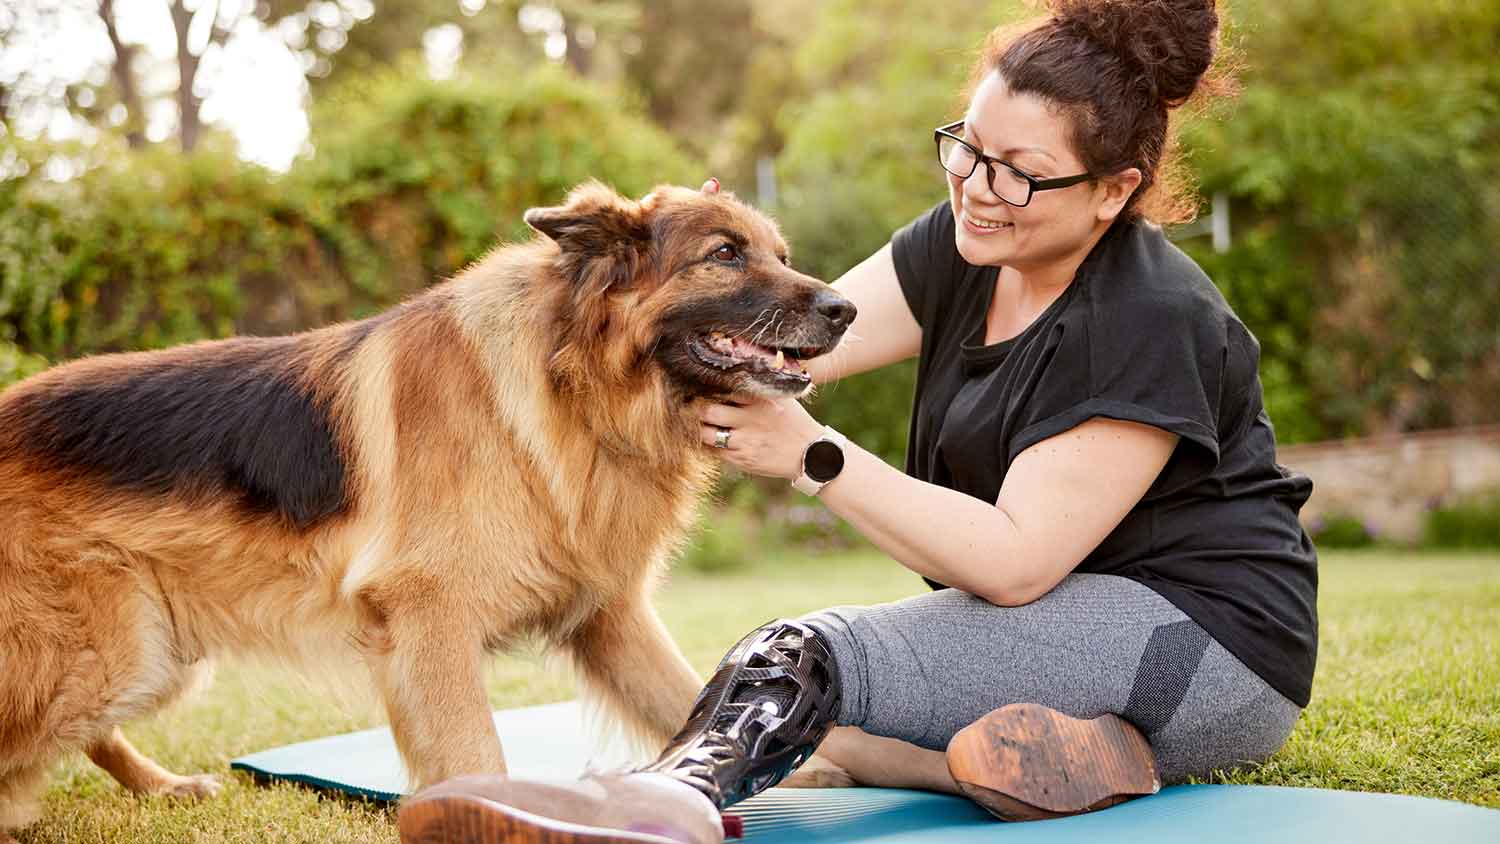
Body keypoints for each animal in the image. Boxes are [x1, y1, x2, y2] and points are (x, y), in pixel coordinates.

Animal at [0, 179, 858, 839]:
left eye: (779, 255)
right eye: (725, 254)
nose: (846, 308)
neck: (573, 382)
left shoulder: (608, 615)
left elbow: (681, 696)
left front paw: (811, 759)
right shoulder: (431, 620)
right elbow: (476, 755)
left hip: (154, 653)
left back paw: (162, 787)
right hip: (116, 654)